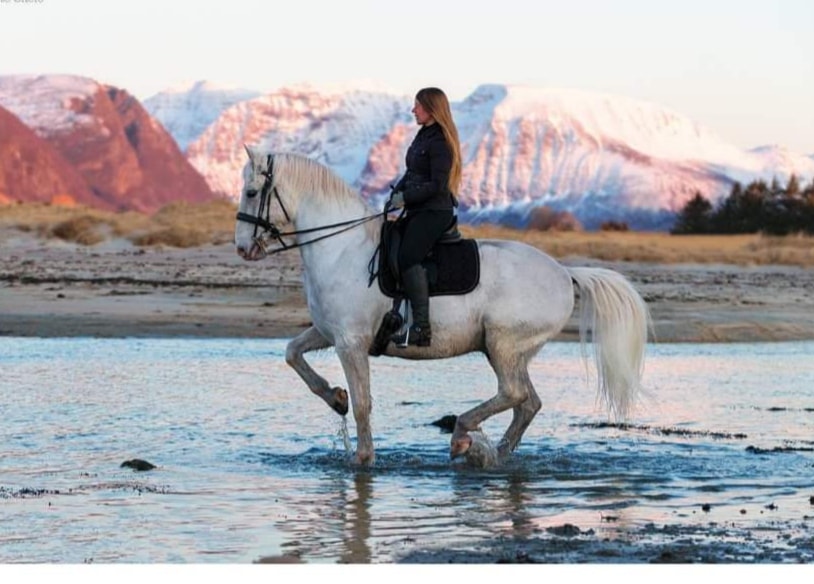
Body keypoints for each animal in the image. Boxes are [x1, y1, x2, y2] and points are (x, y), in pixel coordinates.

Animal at [234, 149, 652, 466]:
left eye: (252, 192)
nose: (242, 248)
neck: (342, 249)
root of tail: (565, 273)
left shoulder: (351, 342)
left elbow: (364, 404)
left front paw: (363, 459)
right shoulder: (329, 333)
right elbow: (293, 354)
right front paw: (335, 398)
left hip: (503, 345)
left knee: (514, 394)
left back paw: (463, 436)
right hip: (507, 351)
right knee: (527, 402)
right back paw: (494, 456)